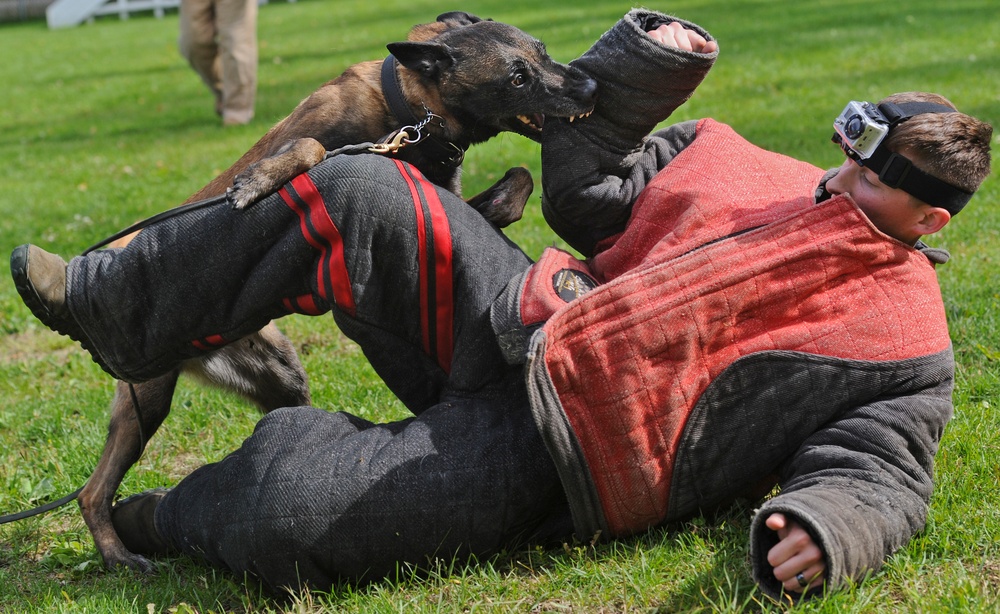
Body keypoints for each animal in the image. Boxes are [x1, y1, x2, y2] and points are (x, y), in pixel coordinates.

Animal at [78, 12, 596, 576]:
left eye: (543, 52)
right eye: (518, 78)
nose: (590, 86)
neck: (410, 111)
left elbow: (519, 181)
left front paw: (496, 207)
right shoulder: (308, 136)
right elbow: (312, 147)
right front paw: (260, 178)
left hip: (277, 377)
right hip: (146, 400)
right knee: (91, 492)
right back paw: (117, 555)